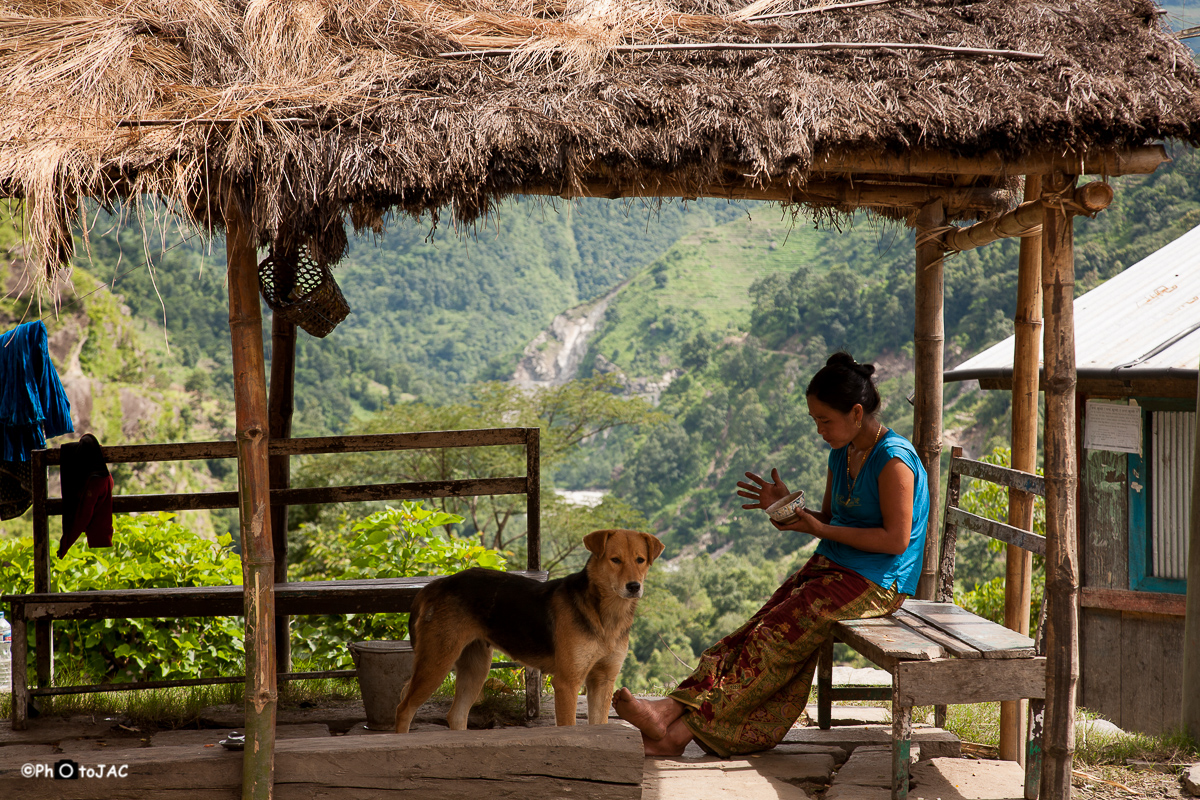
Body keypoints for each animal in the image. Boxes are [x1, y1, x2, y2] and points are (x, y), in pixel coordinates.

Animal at [393, 527, 662, 734]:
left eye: (640, 560)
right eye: (615, 560)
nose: (634, 586)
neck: (605, 614)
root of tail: (438, 584)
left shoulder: (603, 680)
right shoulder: (567, 683)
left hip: (476, 667)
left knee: (456, 715)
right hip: (437, 662)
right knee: (404, 708)